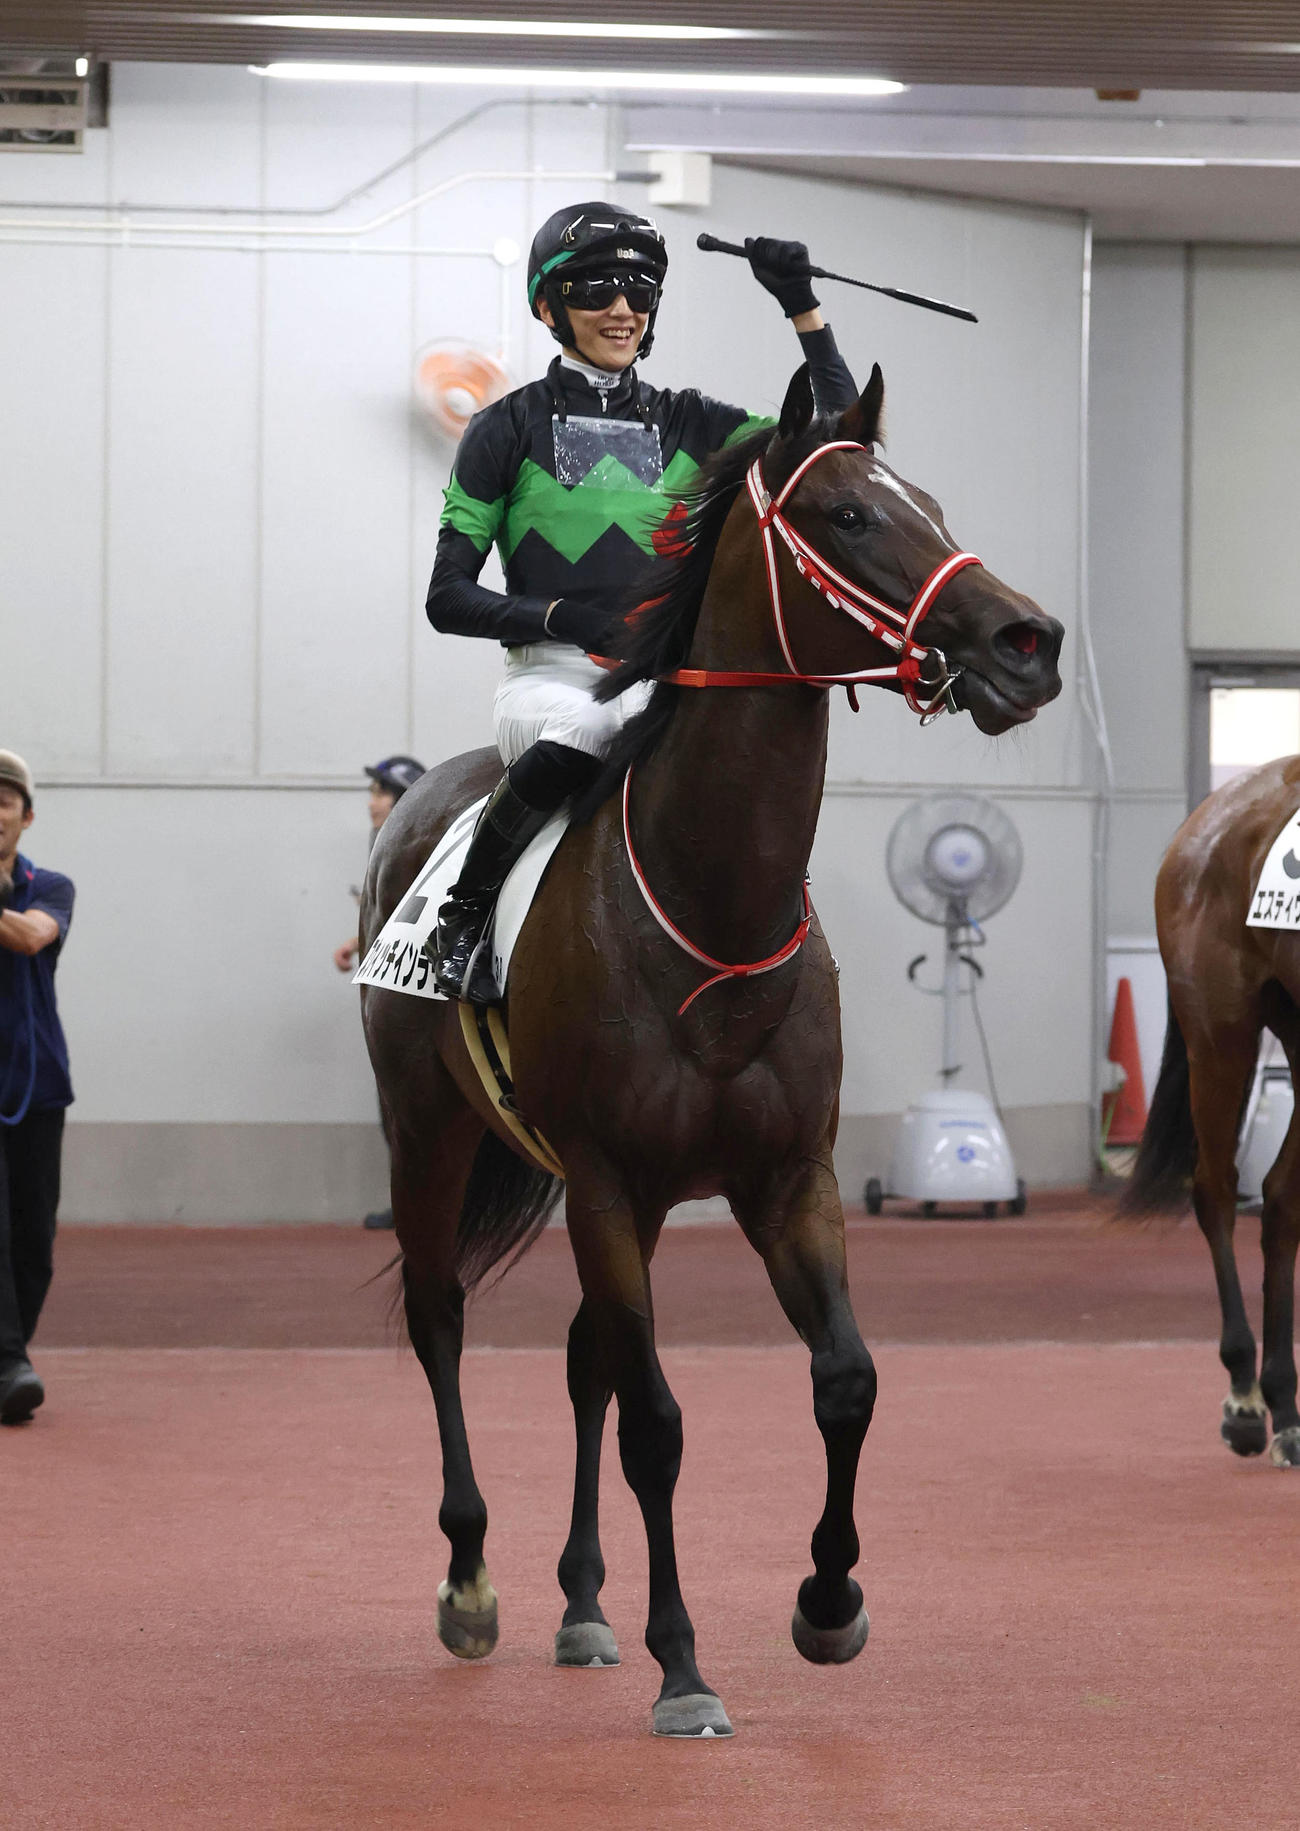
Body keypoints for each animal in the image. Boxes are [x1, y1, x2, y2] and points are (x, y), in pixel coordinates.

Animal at [360, 360, 1065, 1737]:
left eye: (934, 502)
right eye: (848, 516)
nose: (1028, 641)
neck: (710, 909)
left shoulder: (783, 1176)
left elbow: (844, 1379)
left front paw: (828, 1603)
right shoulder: (607, 1179)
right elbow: (658, 1424)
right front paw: (683, 1665)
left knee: (583, 1356)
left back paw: (582, 1605)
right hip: (430, 1130)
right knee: (440, 1317)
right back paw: (471, 1580)